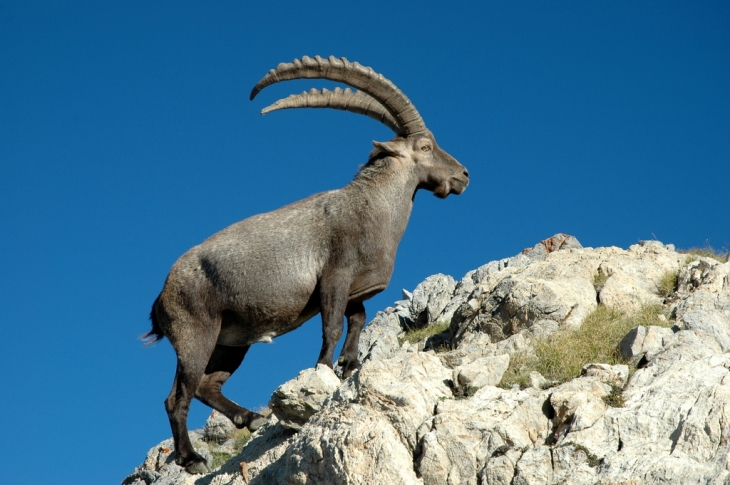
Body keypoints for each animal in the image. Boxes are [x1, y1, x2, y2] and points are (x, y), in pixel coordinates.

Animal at [145, 54, 470, 470]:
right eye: (426, 146)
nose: (463, 175)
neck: (371, 210)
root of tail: (161, 297)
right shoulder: (334, 276)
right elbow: (331, 326)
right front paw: (326, 369)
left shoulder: (354, 289)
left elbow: (358, 318)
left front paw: (350, 364)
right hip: (194, 334)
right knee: (176, 398)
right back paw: (191, 458)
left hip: (231, 341)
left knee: (206, 384)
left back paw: (251, 419)